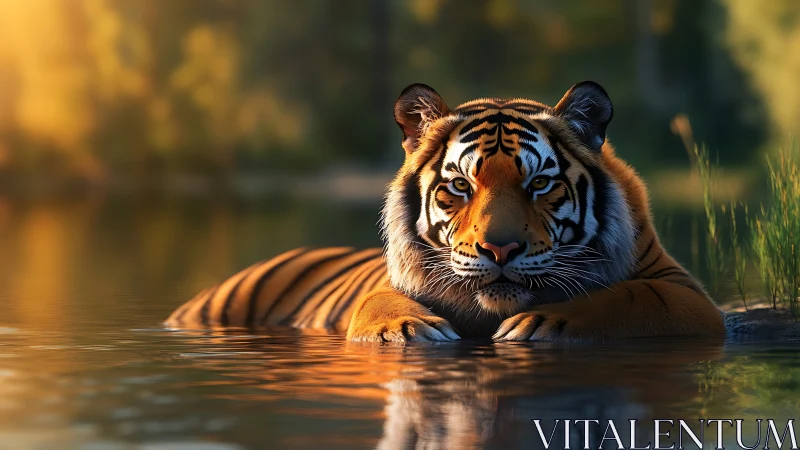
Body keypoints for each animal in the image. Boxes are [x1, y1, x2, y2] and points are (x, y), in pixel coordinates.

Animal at [165, 81, 726, 342]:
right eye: (460, 185)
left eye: (539, 183)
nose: (500, 248)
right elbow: (378, 303)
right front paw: (409, 329)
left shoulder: (685, 295)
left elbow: (625, 298)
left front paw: (542, 323)